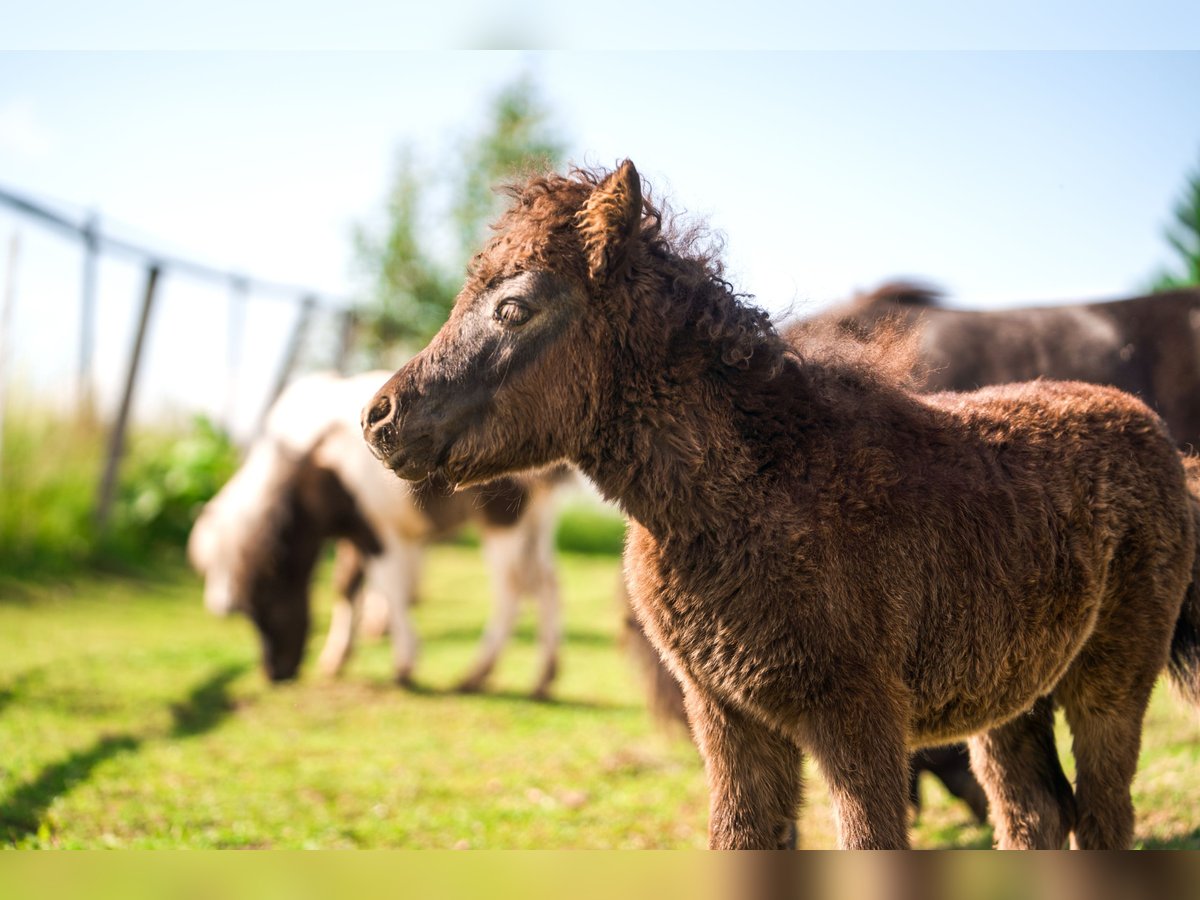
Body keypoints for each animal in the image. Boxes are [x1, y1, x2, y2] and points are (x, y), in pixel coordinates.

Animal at [360, 164, 1200, 854]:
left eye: (514, 308)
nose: (380, 418)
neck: (750, 495)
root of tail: (1158, 436)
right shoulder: (730, 719)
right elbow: (739, 840)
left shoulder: (859, 720)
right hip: (1011, 696)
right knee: (1034, 814)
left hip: (1111, 677)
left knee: (1103, 816)